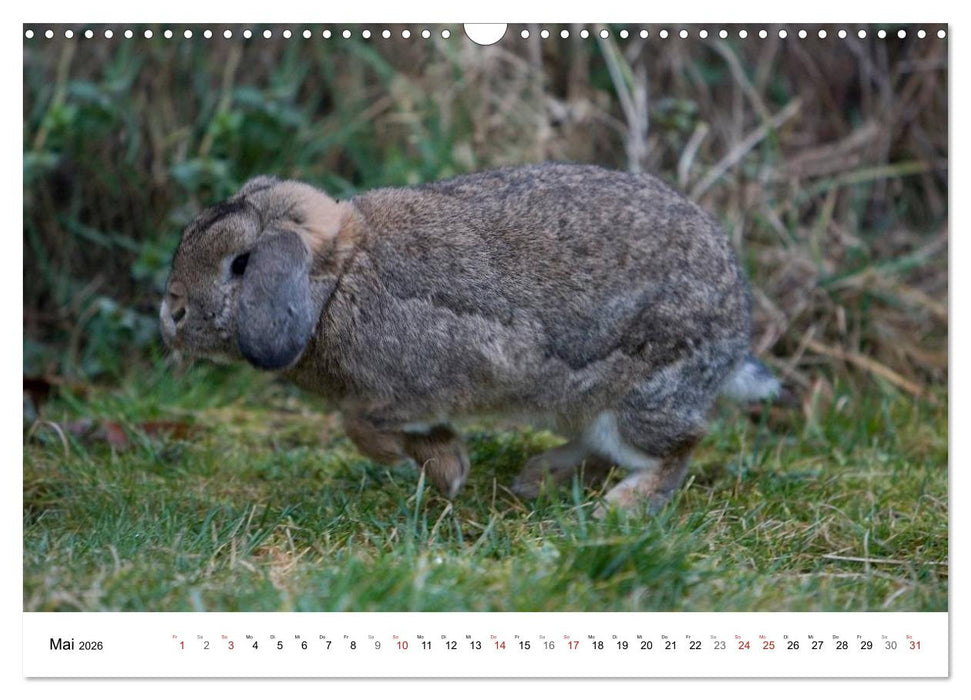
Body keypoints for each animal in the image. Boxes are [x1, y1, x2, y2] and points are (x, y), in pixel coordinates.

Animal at [160, 163, 779, 514]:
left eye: (241, 264)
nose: (170, 311)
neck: (337, 280)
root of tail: (735, 331)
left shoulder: (416, 385)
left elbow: (360, 425)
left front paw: (425, 467)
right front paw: (450, 470)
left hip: (643, 394)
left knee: (677, 448)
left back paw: (621, 509)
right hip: (580, 404)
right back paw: (536, 478)